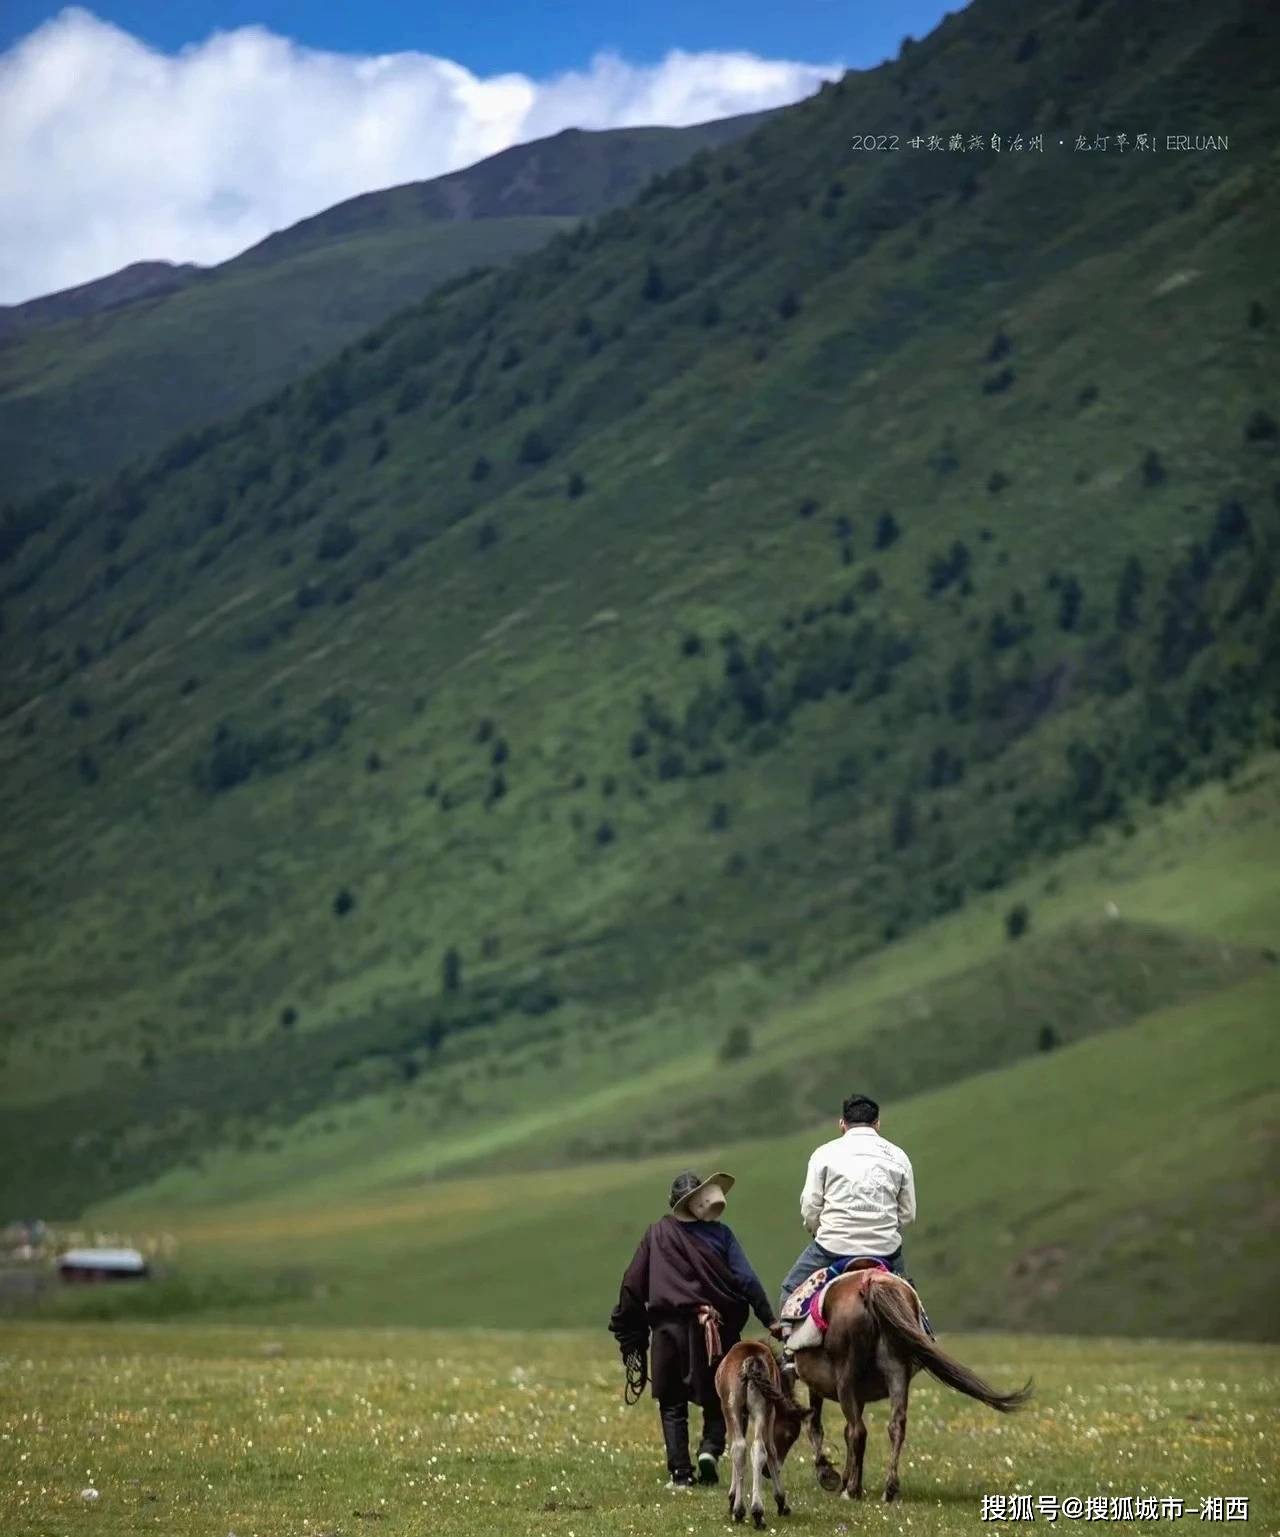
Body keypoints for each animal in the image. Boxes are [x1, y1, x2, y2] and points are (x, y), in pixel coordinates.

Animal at [712, 1340, 805, 1518]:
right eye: (791, 1436)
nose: (767, 1473)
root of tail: (751, 1359)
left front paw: (732, 1497)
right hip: (757, 1407)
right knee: (752, 1447)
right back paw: (751, 1510)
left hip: (737, 1407)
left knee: (749, 1447)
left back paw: (747, 1509)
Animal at [799, 1266, 1026, 1506]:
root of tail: (869, 1283)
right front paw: (844, 1478)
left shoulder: (816, 1385)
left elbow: (816, 1426)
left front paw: (829, 1475)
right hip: (896, 1369)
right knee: (895, 1425)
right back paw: (888, 1489)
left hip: (848, 1377)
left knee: (858, 1430)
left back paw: (852, 1491)